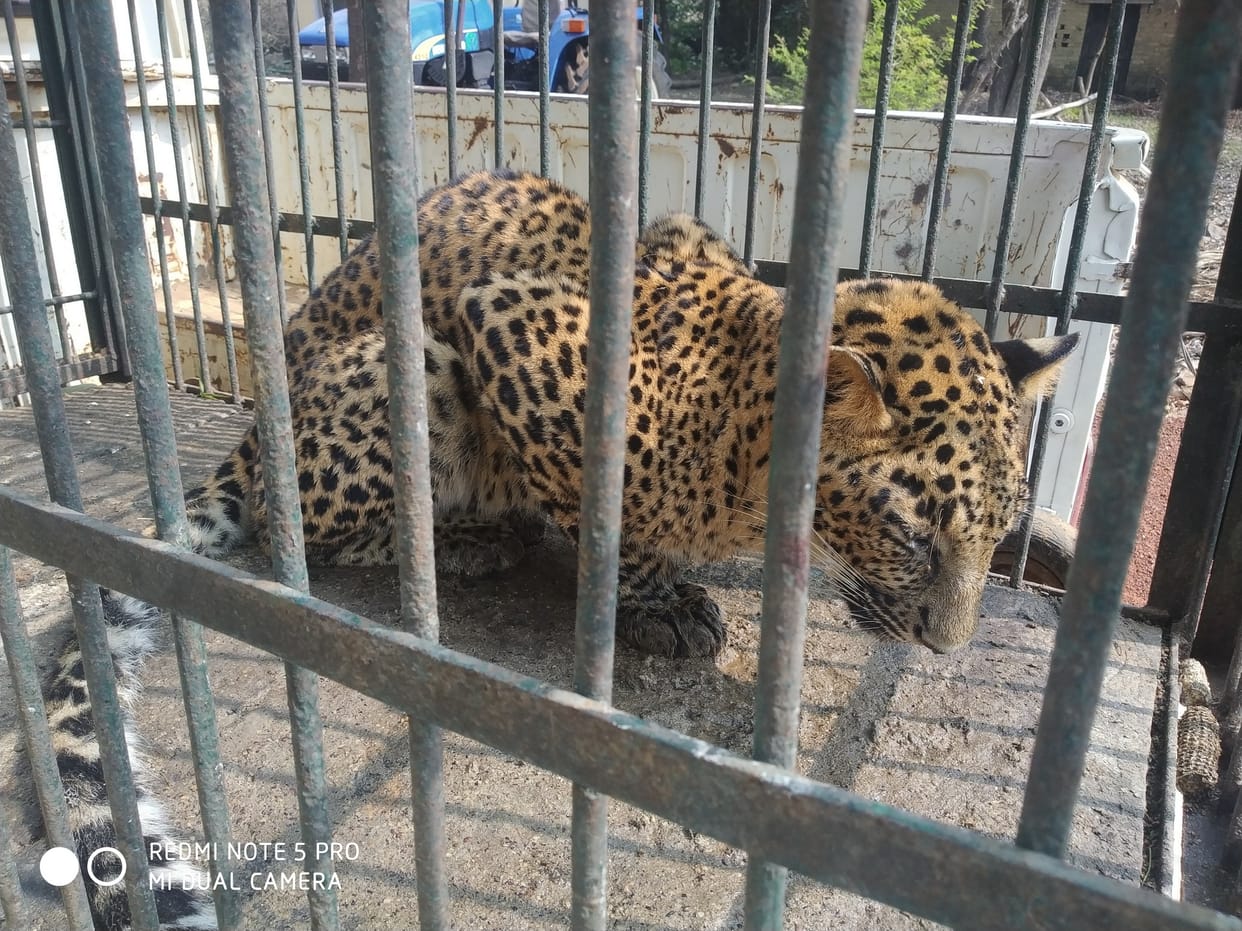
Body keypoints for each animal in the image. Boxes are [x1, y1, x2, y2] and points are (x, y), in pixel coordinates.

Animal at [36, 168, 1076, 929]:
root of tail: (255, 423)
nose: (948, 644)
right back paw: (468, 538)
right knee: (294, 521)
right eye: (914, 536)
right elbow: (605, 520)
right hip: (415, 371)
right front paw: (659, 599)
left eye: (999, 532)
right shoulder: (513, 332)